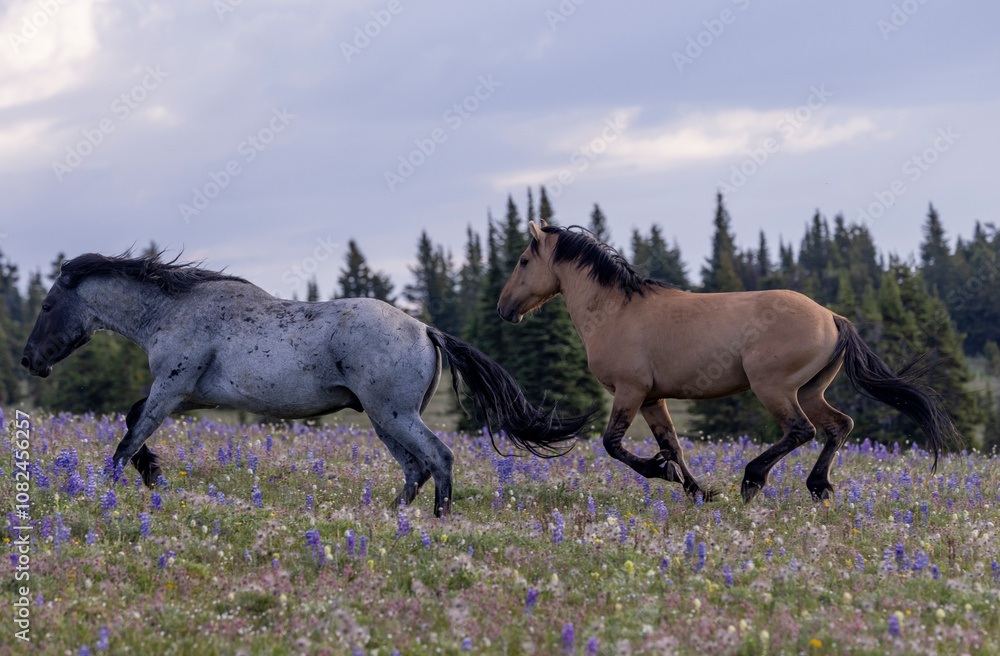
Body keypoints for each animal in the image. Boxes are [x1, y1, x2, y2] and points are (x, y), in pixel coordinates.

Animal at [21, 252, 592, 517]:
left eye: (47, 305)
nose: (30, 360)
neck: (173, 309)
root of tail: (425, 328)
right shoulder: (188, 396)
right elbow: (133, 419)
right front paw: (154, 474)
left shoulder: (173, 388)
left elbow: (128, 438)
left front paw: (111, 487)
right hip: (384, 420)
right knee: (415, 468)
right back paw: (391, 516)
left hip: (394, 415)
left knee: (439, 458)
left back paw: (436, 521)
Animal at [497, 221, 958, 503]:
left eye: (523, 261)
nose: (504, 309)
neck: (616, 310)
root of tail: (831, 317)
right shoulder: (653, 398)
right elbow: (673, 444)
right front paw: (697, 491)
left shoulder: (630, 391)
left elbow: (614, 445)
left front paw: (662, 473)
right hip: (810, 389)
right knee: (838, 426)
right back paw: (818, 486)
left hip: (773, 388)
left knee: (801, 430)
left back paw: (753, 479)